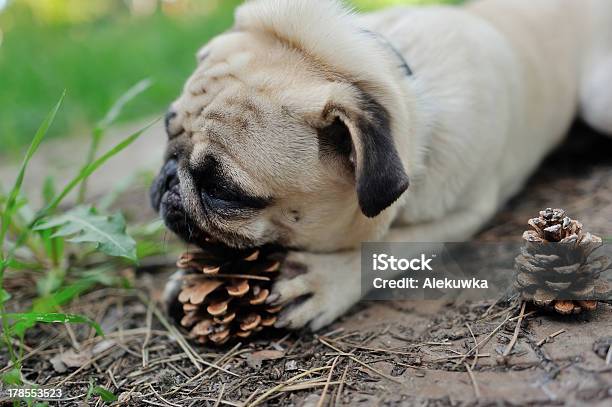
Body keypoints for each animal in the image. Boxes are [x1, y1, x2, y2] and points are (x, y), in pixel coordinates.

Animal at [152, 0, 612, 332]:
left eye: (222, 192)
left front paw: (324, 280)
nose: (167, 179)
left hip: (597, 101)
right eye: (166, 134)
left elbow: (389, 248)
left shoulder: (465, 214)